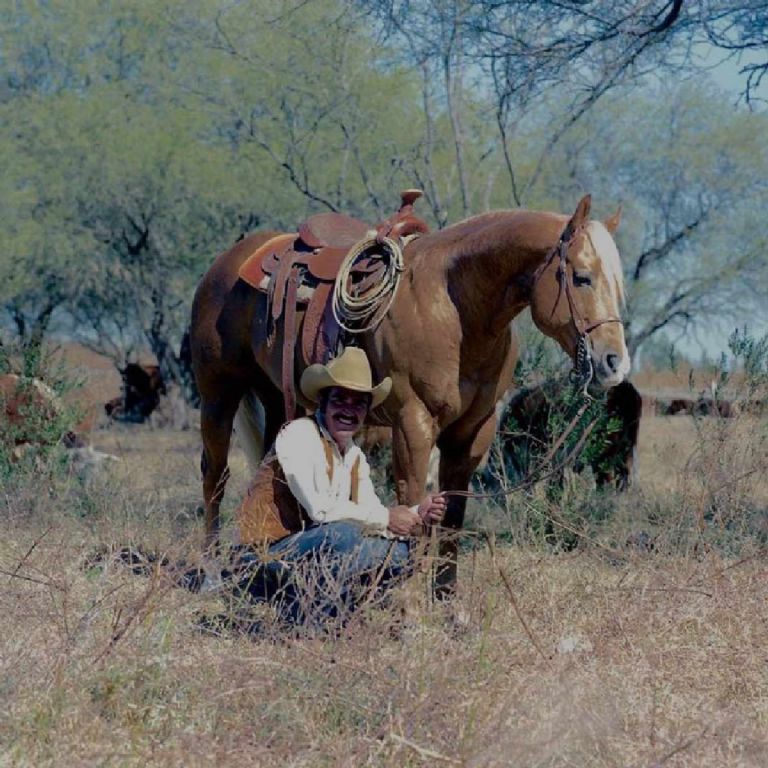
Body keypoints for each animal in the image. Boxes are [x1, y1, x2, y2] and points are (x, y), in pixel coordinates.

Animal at [189, 195, 628, 592]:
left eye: (617, 286)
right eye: (582, 277)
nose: (615, 363)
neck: (454, 308)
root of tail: (231, 259)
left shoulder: (471, 434)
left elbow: (451, 518)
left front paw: (447, 606)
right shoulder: (412, 425)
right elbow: (413, 506)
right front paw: (412, 607)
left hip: (276, 397)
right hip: (218, 392)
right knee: (215, 475)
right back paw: (210, 573)